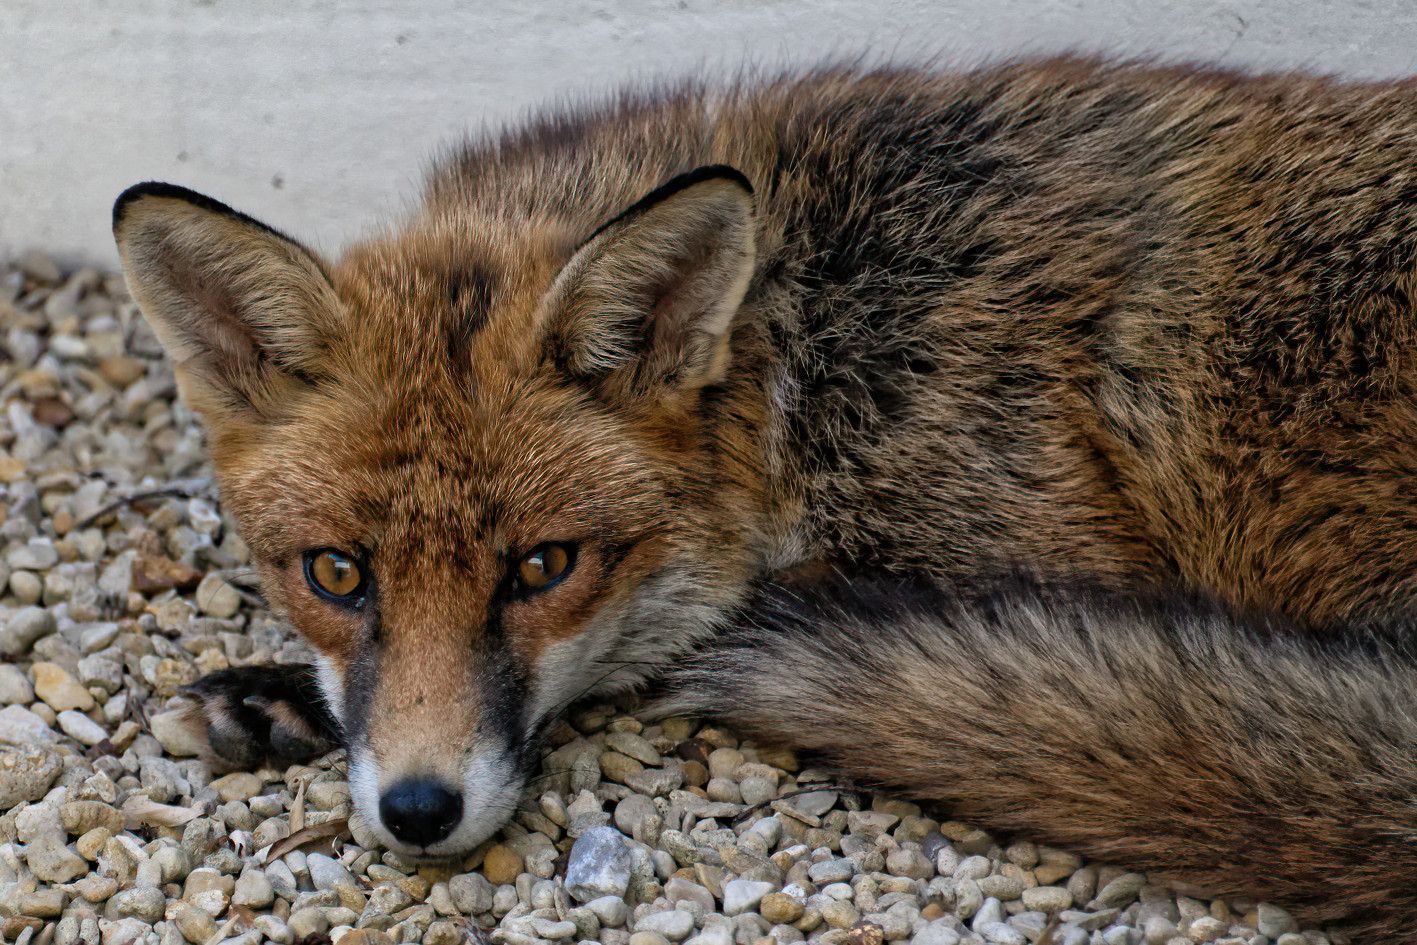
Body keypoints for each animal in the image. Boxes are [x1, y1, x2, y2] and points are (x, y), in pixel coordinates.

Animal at [110, 57, 1417, 938]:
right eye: (336, 573)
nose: (420, 811)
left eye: (542, 568)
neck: (803, 366)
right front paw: (273, 700)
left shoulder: (1042, 538)